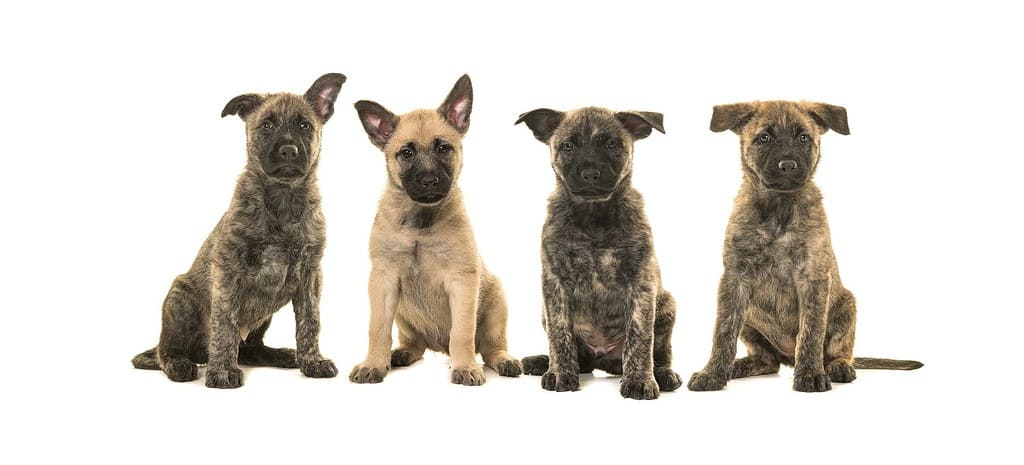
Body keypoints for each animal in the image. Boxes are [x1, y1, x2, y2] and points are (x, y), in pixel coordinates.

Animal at [130, 72, 346, 387]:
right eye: (267, 125)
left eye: (305, 125)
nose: (288, 151)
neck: (282, 199)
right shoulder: (228, 272)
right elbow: (225, 324)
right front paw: (221, 371)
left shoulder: (310, 276)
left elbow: (310, 322)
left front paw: (312, 361)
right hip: (179, 298)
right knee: (165, 350)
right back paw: (179, 364)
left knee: (249, 349)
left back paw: (281, 355)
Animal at [350, 73, 524, 385]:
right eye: (406, 153)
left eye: (443, 148)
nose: (429, 180)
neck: (420, 223)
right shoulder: (383, 281)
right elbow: (377, 330)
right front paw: (373, 364)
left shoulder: (462, 282)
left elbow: (462, 333)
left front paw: (465, 367)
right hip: (403, 312)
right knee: (415, 344)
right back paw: (401, 354)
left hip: (496, 306)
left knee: (490, 346)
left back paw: (502, 360)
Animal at [516, 106, 684, 399]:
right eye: (568, 146)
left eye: (611, 144)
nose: (590, 173)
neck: (593, 215)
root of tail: (602, 360)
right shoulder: (555, 283)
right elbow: (559, 335)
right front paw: (560, 373)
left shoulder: (640, 282)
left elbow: (640, 337)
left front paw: (639, 380)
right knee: (575, 356)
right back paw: (542, 363)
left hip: (667, 306)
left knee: (661, 353)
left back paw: (663, 375)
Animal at [688, 100, 921, 393]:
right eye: (764, 138)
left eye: (803, 138)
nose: (788, 165)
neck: (778, 208)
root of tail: (786, 356)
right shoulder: (735, 278)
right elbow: (723, 330)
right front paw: (713, 373)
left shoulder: (813, 277)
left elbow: (810, 331)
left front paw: (810, 373)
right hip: (750, 320)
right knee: (767, 361)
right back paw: (738, 367)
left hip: (847, 307)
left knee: (840, 352)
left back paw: (838, 367)